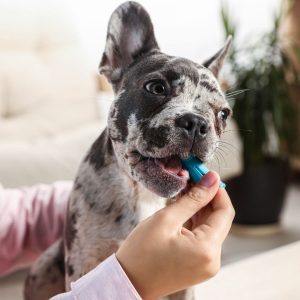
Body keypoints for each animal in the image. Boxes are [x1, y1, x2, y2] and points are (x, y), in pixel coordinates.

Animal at [24, 1, 233, 298]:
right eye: (156, 87)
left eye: (224, 114)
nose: (196, 123)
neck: (142, 194)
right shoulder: (83, 262)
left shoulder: (184, 289)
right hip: (42, 268)